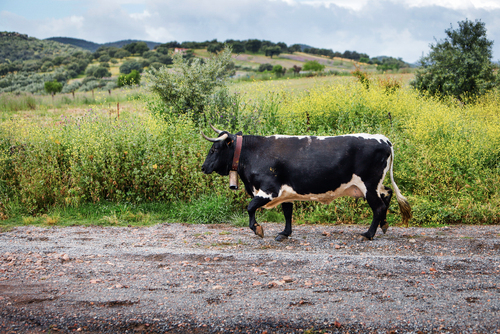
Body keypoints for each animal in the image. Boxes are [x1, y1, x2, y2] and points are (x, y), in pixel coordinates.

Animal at [201, 125, 412, 240]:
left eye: (214, 149)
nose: (203, 167)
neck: (254, 152)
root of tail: (382, 139)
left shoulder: (269, 190)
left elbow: (250, 207)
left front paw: (258, 229)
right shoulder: (285, 192)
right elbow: (287, 212)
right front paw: (284, 233)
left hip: (369, 185)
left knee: (378, 207)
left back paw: (368, 234)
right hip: (376, 185)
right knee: (387, 196)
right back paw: (383, 225)